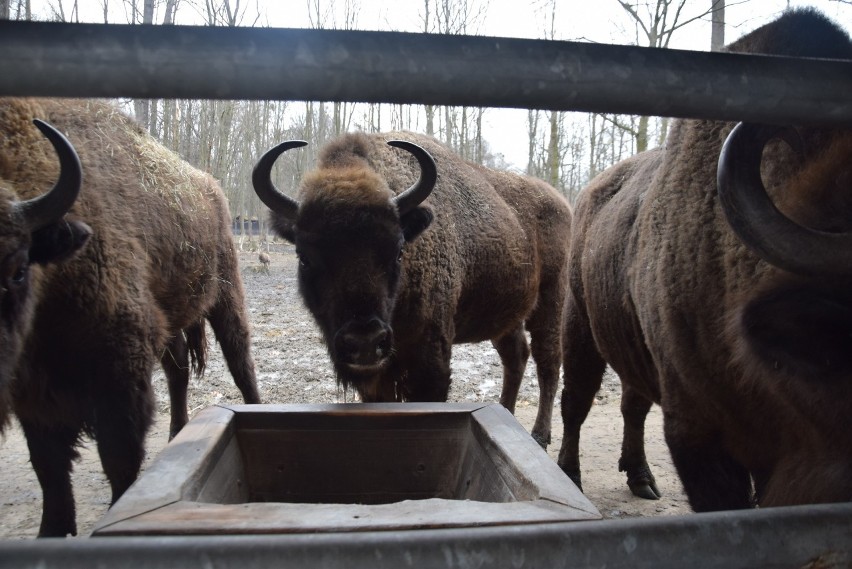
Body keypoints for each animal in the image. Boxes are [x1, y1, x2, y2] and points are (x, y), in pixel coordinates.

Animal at [0, 95, 260, 536]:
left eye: (17, 268)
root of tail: (209, 187)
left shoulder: (119, 372)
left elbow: (118, 459)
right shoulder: (32, 391)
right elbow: (49, 468)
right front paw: (53, 529)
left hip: (225, 294)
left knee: (239, 360)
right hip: (172, 321)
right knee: (178, 371)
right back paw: (176, 432)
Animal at [253, 131, 572, 446]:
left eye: (398, 252)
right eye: (304, 257)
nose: (364, 340)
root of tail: (561, 201)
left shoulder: (431, 362)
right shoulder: (378, 377)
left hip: (550, 301)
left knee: (548, 361)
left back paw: (540, 435)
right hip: (506, 316)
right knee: (516, 356)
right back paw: (506, 412)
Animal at [560, 6, 852, 508]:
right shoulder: (697, 434)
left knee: (632, 403)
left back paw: (641, 477)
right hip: (580, 327)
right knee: (576, 402)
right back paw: (570, 475)